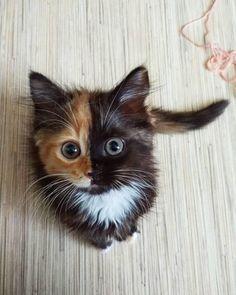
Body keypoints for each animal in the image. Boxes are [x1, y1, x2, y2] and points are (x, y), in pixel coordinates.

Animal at [29, 67, 229, 250]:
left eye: (114, 146)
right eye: (70, 150)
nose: (92, 173)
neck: (106, 199)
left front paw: (129, 232)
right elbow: (93, 233)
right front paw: (104, 245)